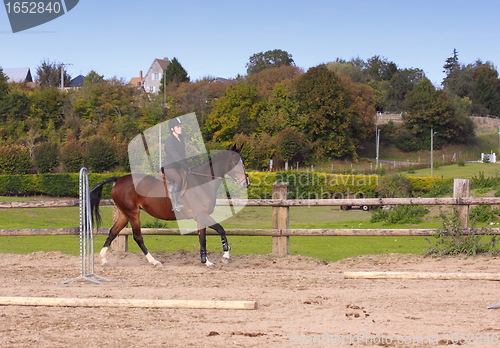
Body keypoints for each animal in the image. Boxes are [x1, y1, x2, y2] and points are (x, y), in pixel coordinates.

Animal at [90, 145, 250, 268]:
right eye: (234, 162)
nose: (246, 183)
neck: (201, 182)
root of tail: (118, 179)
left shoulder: (200, 218)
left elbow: (202, 239)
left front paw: (206, 261)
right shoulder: (201, 215)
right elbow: (221, 230)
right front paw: (225, 256)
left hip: (124, 214)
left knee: (112, 232)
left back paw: (103, 260)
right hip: (133, 213)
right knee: (137, 236)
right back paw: (154, 261)